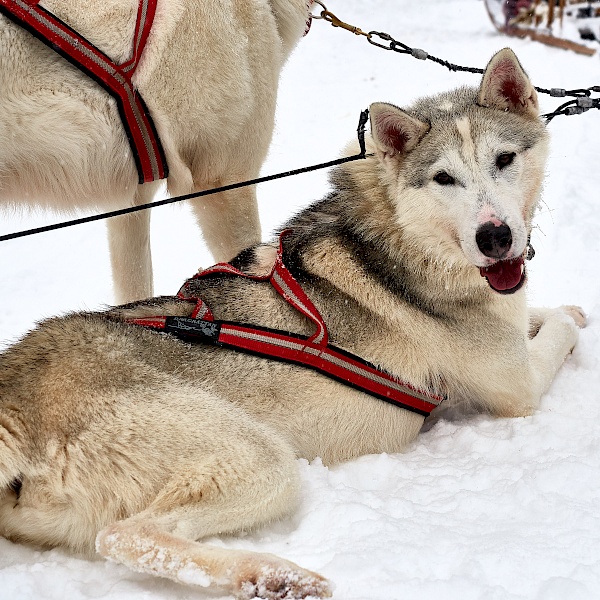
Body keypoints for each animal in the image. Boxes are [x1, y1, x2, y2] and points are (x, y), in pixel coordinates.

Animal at [0, 49, 584, 596]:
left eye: (504, 159)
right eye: (445, 178)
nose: (496, 237)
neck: (401, 237)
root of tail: (15, 387)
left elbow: (542, 311)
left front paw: (560, 306)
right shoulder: (521, 387)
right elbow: (560, 329)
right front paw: (569, 317)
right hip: (259, 458)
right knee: (127, 534)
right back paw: (274, 575)